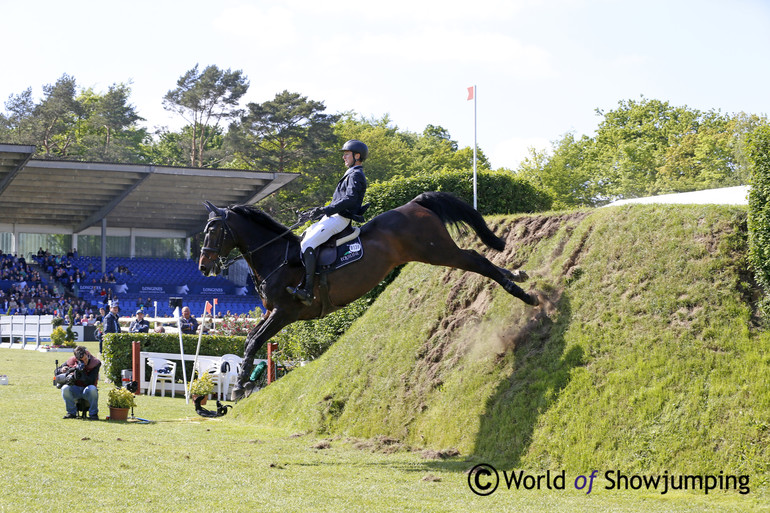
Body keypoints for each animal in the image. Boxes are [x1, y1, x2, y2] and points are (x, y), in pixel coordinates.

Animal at [201, 190, 536, 402]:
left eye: (213, 230)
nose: (204, 266)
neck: (276, 256)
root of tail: (415, 204)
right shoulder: (273, 313)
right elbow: (250, 340)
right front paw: (245, 381)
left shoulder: (285, 312)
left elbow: (254, 341)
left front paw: (240, 387)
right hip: (437, 252)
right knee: (478, 260)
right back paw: (517, 275)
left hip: (438, 251)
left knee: (476, 260)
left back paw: (523, 294)